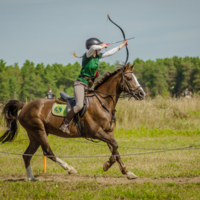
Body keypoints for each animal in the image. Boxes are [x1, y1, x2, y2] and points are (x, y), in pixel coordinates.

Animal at [0, 63, 145, 180]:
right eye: (129, 78)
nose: (142, 94)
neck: (102, 102)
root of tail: (24, 105)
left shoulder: (108, 132)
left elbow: (115, 149)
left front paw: (127, 172)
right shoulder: (96, 132)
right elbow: (115, 146)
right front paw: (107, 165)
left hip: (34, 135)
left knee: (27, 155)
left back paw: (32, 178)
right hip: (39, 130)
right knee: (47, 152)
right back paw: (69, 168)